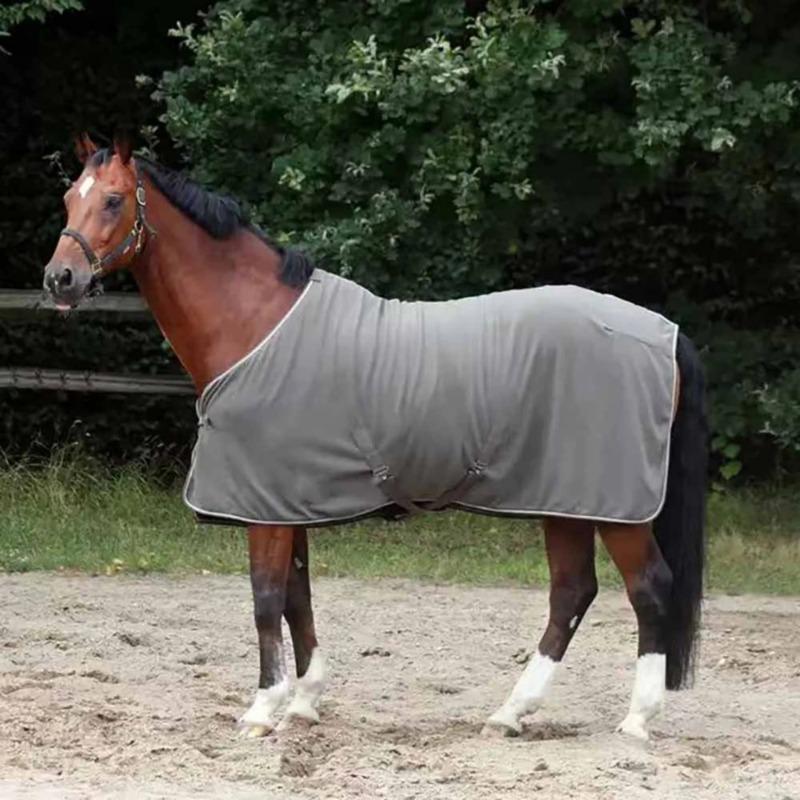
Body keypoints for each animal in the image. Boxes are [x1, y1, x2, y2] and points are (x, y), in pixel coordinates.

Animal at [43, 134, 707, 742]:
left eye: (112, 200)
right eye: (69, 197)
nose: (59, 278)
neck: (254, 322)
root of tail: (665, 333)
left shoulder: (265, 509)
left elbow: (265, 597)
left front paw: (263, 710)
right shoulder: (286, 502)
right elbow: (298, 596)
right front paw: (305, 703)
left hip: (615, 509)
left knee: (648, 589)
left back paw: (636, 721)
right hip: (564, 501)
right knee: (572, 593)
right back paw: (510, 713)